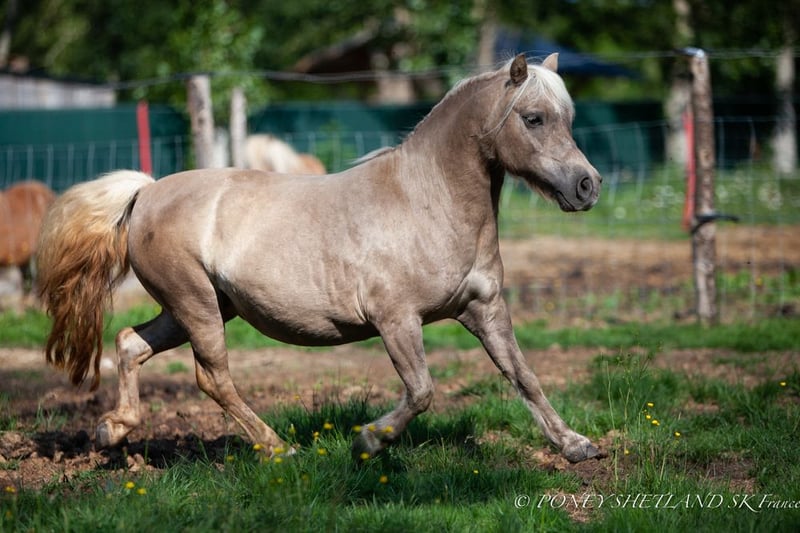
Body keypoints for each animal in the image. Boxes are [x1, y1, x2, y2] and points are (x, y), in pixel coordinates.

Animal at [36, 53, 602, 463]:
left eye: (568, 118)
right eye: (533, 118)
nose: (587, 185)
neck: (428, 201)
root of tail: (147, 192)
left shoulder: (484, 309)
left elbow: (523, 376)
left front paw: (576, 446)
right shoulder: (397, 320)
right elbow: (421, 391)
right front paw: (368, 441)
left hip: (196, 308)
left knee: (130, 344)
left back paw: (112, 431)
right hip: (196, 305)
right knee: (212, 377)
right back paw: (278, 449)